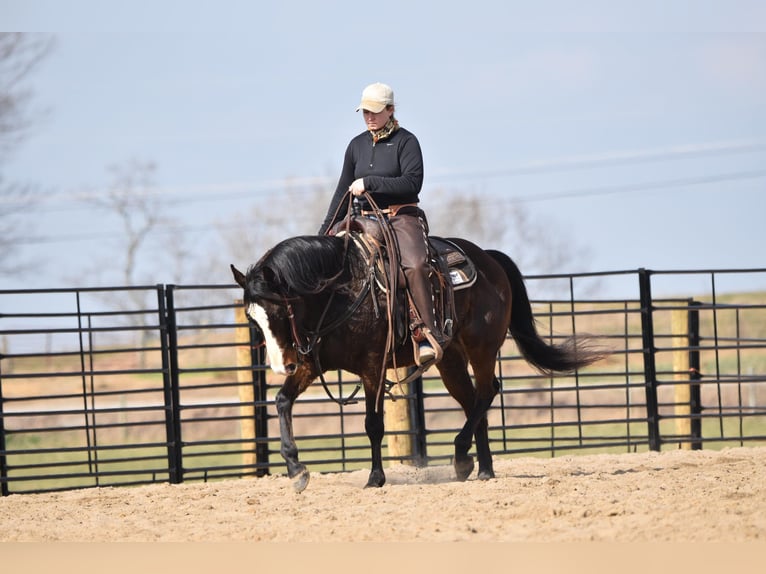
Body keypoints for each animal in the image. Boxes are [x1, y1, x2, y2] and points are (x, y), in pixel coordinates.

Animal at [232, 232, 608, 492]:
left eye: (279, 311)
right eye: (253, 319)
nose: (282, 365)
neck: (341, 293)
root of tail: (488, 259)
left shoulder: (373, 367)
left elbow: (373, 424)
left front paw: (375, 478)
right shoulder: (312, 366)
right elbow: (282, 401)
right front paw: (296, 470)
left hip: (482, 348)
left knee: (488, 391)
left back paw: (462, 458)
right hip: (451, 360)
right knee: (474, 400)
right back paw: (482, 468)